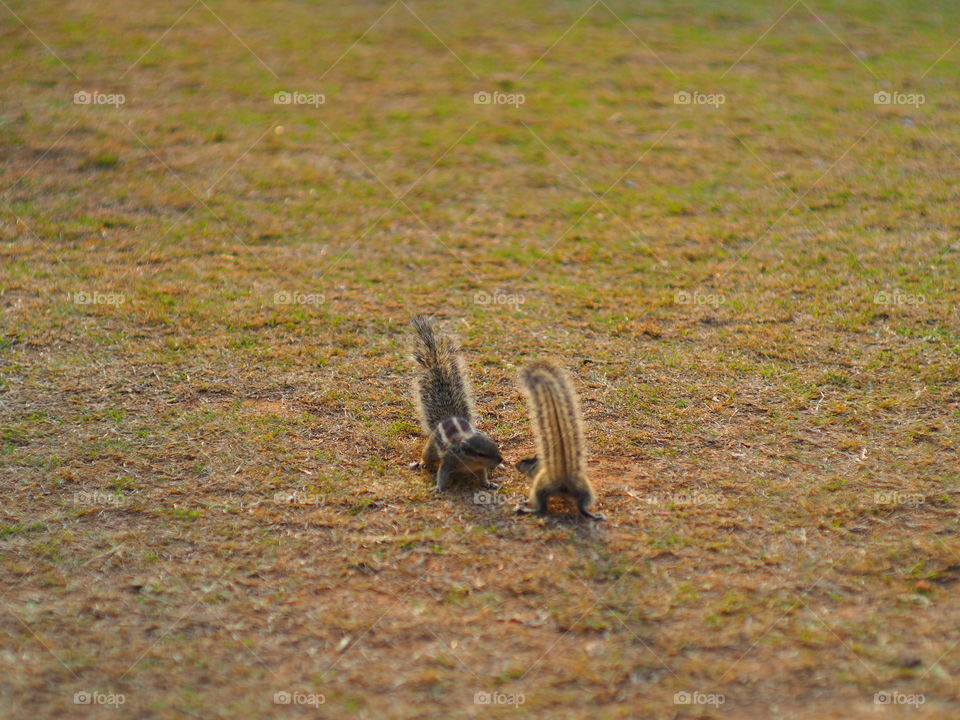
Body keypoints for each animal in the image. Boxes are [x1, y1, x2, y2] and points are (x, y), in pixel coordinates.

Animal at [409, 315, 503, 491]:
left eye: (494, 445)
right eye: (480, 453)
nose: (500, 459)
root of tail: (447, 418)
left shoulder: (480, 468)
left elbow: (483, 475)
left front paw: (488, 483)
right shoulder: (448, 461)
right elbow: (442, 474)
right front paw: (438, 488)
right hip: (432, 447)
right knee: (427, 455)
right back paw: (423, 463)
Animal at [515, 361, 603, 520]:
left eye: (525, 460)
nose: (515, 465)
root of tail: (563, 479)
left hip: (539, 488)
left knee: (542, 508)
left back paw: (525, 509)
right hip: (584, 489)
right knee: (582, 506)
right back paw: (594, 515)